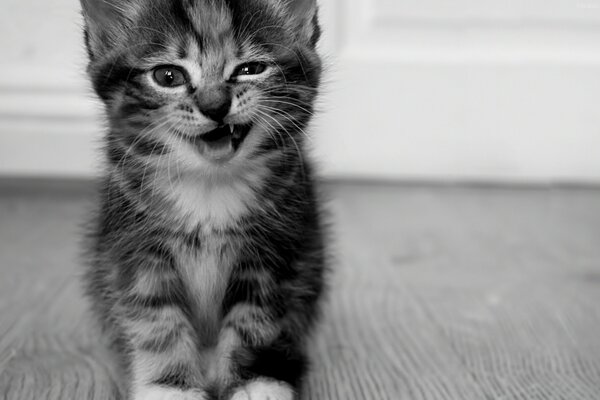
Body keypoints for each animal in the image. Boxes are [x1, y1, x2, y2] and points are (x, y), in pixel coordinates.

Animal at [78, 1, 328, 398]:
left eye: (250, 69)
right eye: (167, 76)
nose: (215, 105)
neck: (209, 184)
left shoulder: (276, 250)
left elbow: (254, 318)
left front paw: (253, 382)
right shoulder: (134, 248)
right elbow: (156, 319)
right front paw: (171, 388)